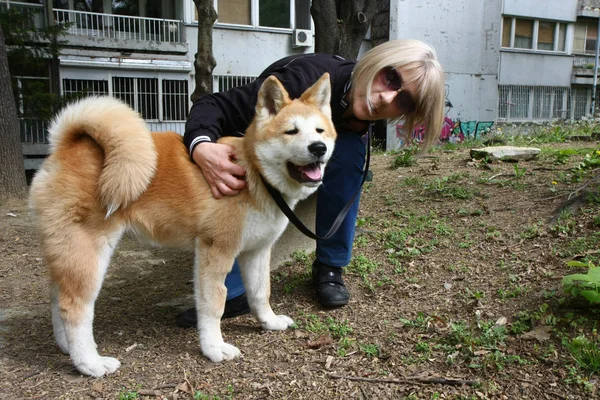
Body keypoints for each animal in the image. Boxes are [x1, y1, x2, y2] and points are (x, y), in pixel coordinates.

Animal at [29, 73, 338, 376]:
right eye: (291, 131)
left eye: (319, 131)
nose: (318, 148)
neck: (253, 173)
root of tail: (66, 147)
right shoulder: (215, 251)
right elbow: (214, 304)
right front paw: (214, 348)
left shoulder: (257, 251)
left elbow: (261, 292)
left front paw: (269, 322)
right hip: (89, 255)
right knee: (73, 308)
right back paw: (90, 363)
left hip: (69, 254)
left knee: (56, 299)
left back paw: (67, 349)